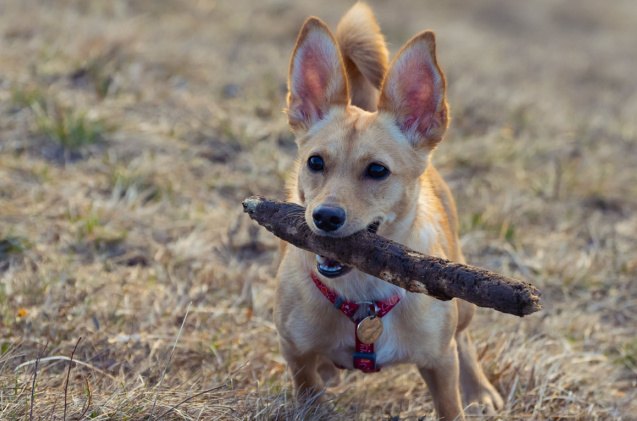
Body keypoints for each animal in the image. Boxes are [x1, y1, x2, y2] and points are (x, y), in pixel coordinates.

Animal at [274, 2, 502, 416]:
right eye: (315, 162)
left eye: (377, 170)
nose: (325, 217)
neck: (363, 293)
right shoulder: (293, 349)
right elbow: (308, 389)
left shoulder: (439, 362)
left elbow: (450, 406)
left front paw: (468, 395)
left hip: (464, 304)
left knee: (464, 339)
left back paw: (478, 389)